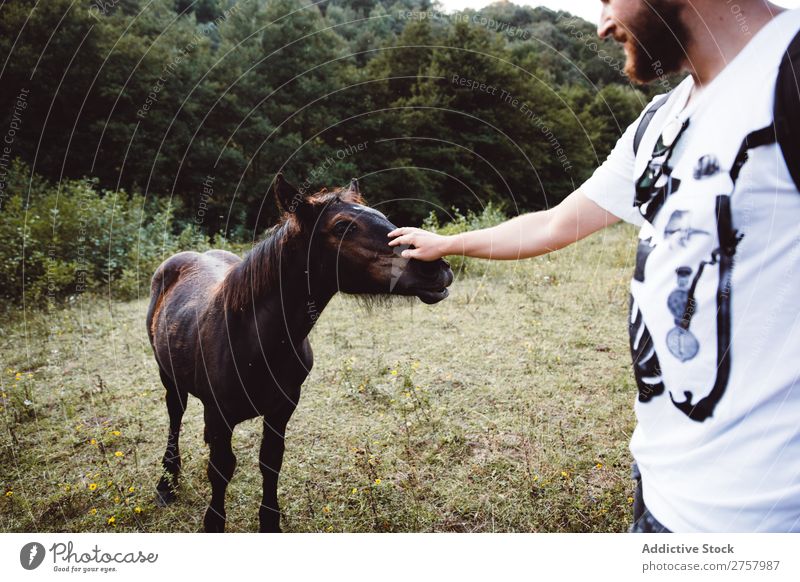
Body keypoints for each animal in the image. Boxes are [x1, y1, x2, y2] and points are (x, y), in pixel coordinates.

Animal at [145, 175, 454, 532]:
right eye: (342, 226)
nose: (436, 268)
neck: (253, 341)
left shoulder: (282, 407)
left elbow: (270, 462)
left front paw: (270, 522)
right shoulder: (219, 415)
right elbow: (220, 470)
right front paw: (213, 522)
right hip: (169, 378)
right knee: (175, 418)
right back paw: (166, 485)